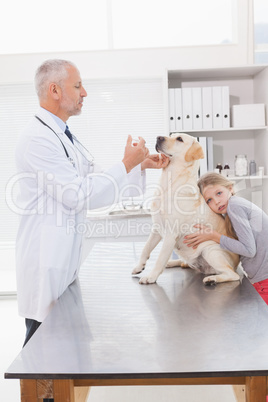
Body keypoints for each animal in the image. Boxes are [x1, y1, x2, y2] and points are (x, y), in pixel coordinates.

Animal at [133, 133, 240, 284]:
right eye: (171, 135)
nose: (159, 137)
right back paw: (172, 263)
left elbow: (160, 259)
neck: (168, 184)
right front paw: (139, 266)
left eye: (179, 139)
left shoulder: (170, 234)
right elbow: (146, 248)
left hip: (210, 250)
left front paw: (151, 277)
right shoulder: (157, 229)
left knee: (233, 275)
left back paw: (212, 279)